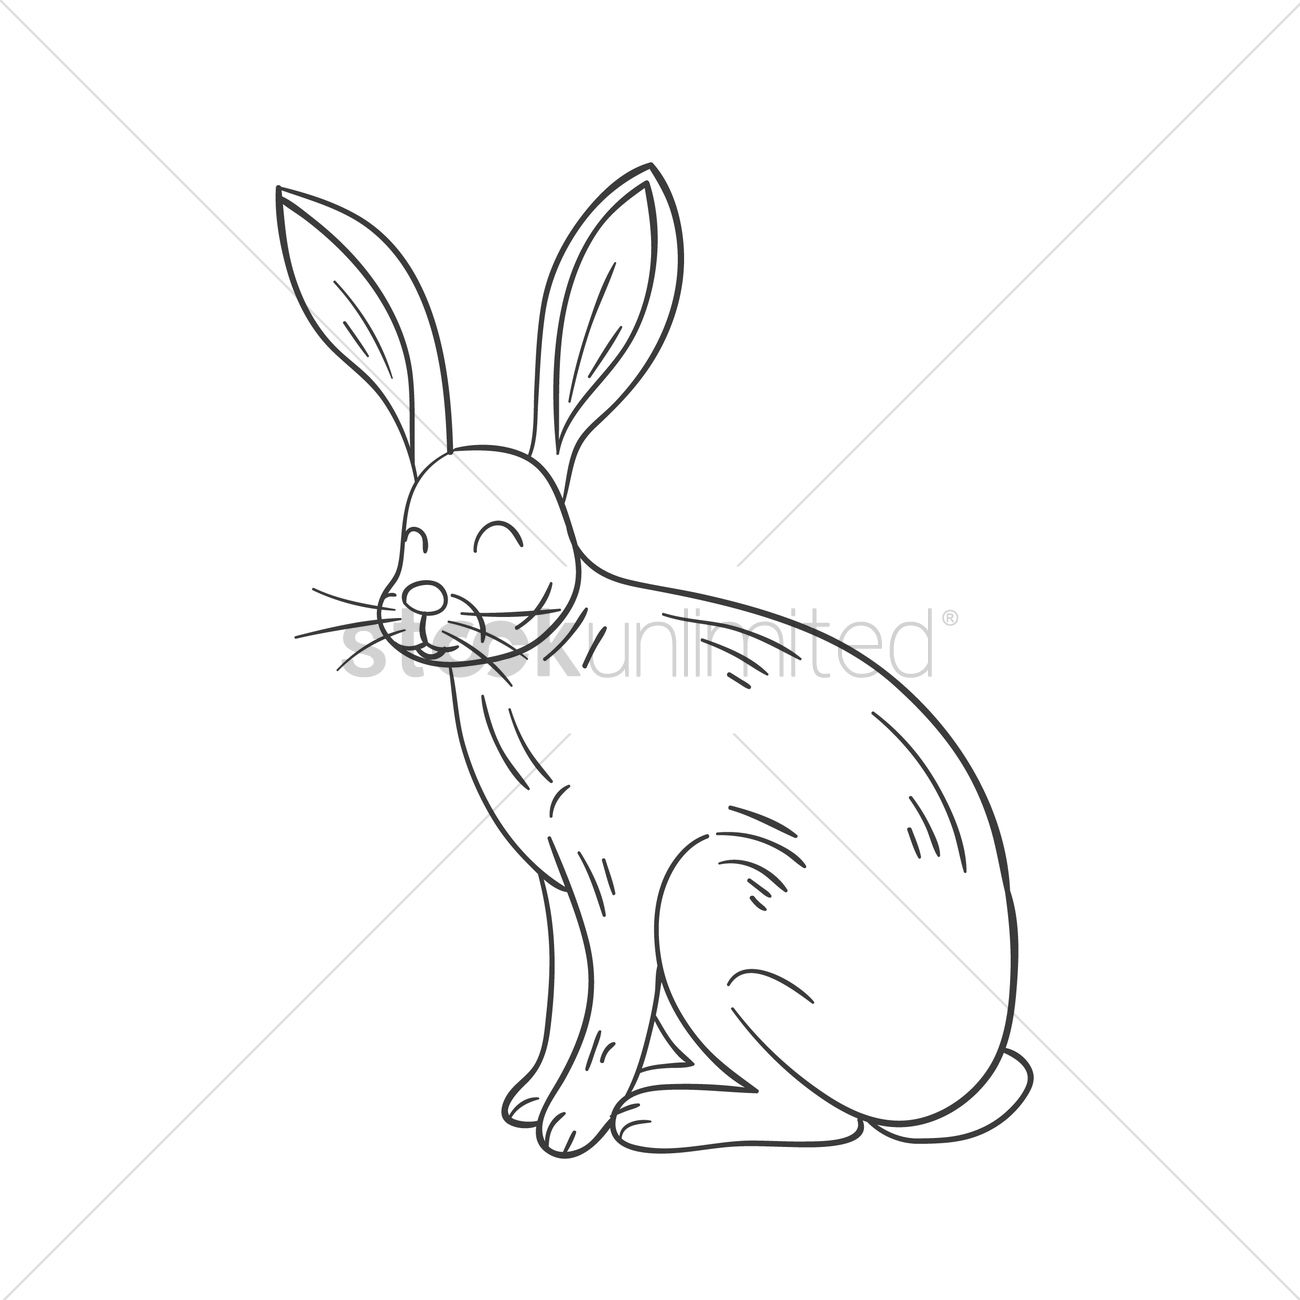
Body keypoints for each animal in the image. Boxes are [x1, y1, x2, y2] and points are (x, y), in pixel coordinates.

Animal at [276, 165, 1030, 1157]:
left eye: (504, 538)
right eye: (411, 539)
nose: (425, 601)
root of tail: (953, 1084)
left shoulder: (621, 883)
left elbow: (610, 1008)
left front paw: (567, 1125)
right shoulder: (560, 891)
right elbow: (568, 997)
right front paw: (528, 1099)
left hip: (721, 922)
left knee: (828, 1119)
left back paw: (653, 1116)